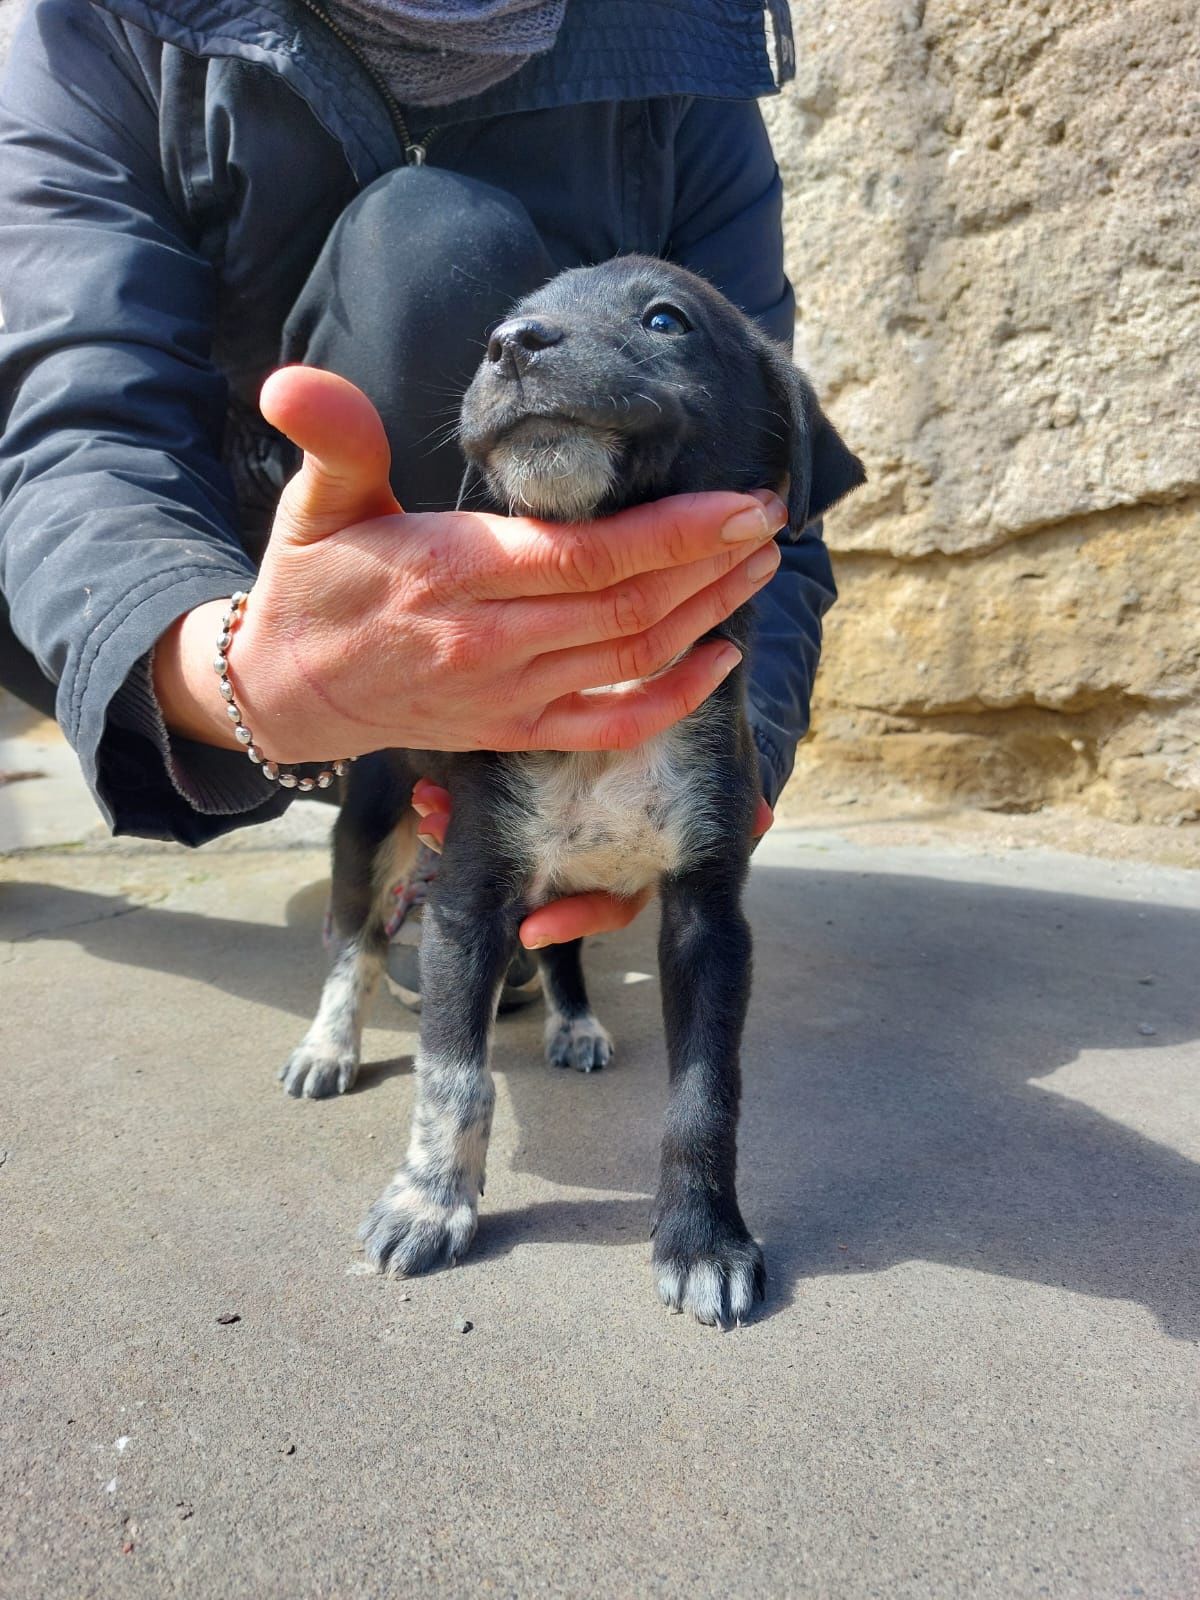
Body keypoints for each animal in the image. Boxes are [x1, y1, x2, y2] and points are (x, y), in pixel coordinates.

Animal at [284, 259, 864, 1324]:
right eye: (507, 322)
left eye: (666, 320)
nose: (511, 345)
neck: (607, 691)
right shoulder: (469, 897)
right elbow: (451, 1075)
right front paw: (430, 1205)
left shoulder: (708, 914)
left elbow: (704, 1095)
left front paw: (704, 1240)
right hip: (377, 818)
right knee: (357, 940)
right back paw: (330, 1045)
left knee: (555, 952)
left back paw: (575, 1021)